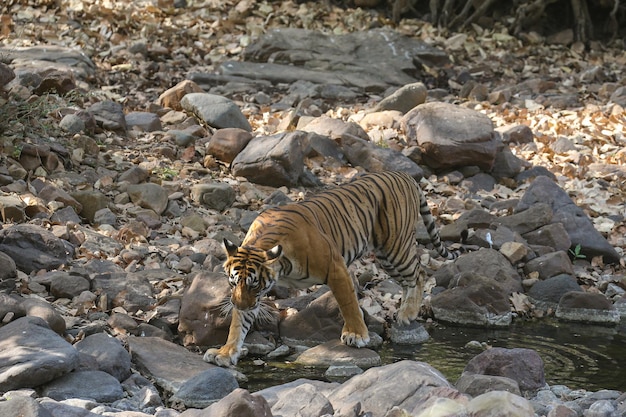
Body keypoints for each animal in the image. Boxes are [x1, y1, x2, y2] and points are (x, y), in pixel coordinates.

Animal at [205, 169, 464, 364]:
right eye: (233, 283)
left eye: (254, 285)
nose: (239, 304)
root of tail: (405, 174)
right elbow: (238, 324)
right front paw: (226, 352)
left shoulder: (335, 267)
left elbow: (348, 304)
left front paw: (356, 335)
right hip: (388, 255)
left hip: (395, 248)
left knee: (419, 273)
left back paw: (407, 314)